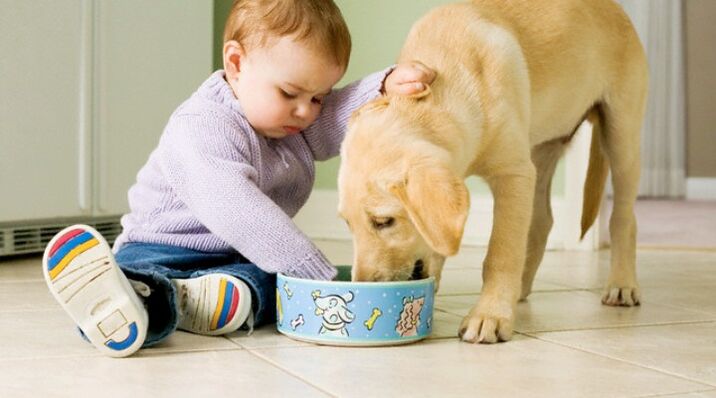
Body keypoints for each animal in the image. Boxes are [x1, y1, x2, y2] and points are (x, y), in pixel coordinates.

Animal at [336, 0, 648, 342]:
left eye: (384, 222)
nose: (361, 287)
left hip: (621, 135)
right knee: (542, 220)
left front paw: (489, 315)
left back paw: (622, 283)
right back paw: (521, 287)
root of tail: (615, 7)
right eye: (348, 224)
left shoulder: (514, 174)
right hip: (540, 149)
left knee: (623, 217)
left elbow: (501, 252)